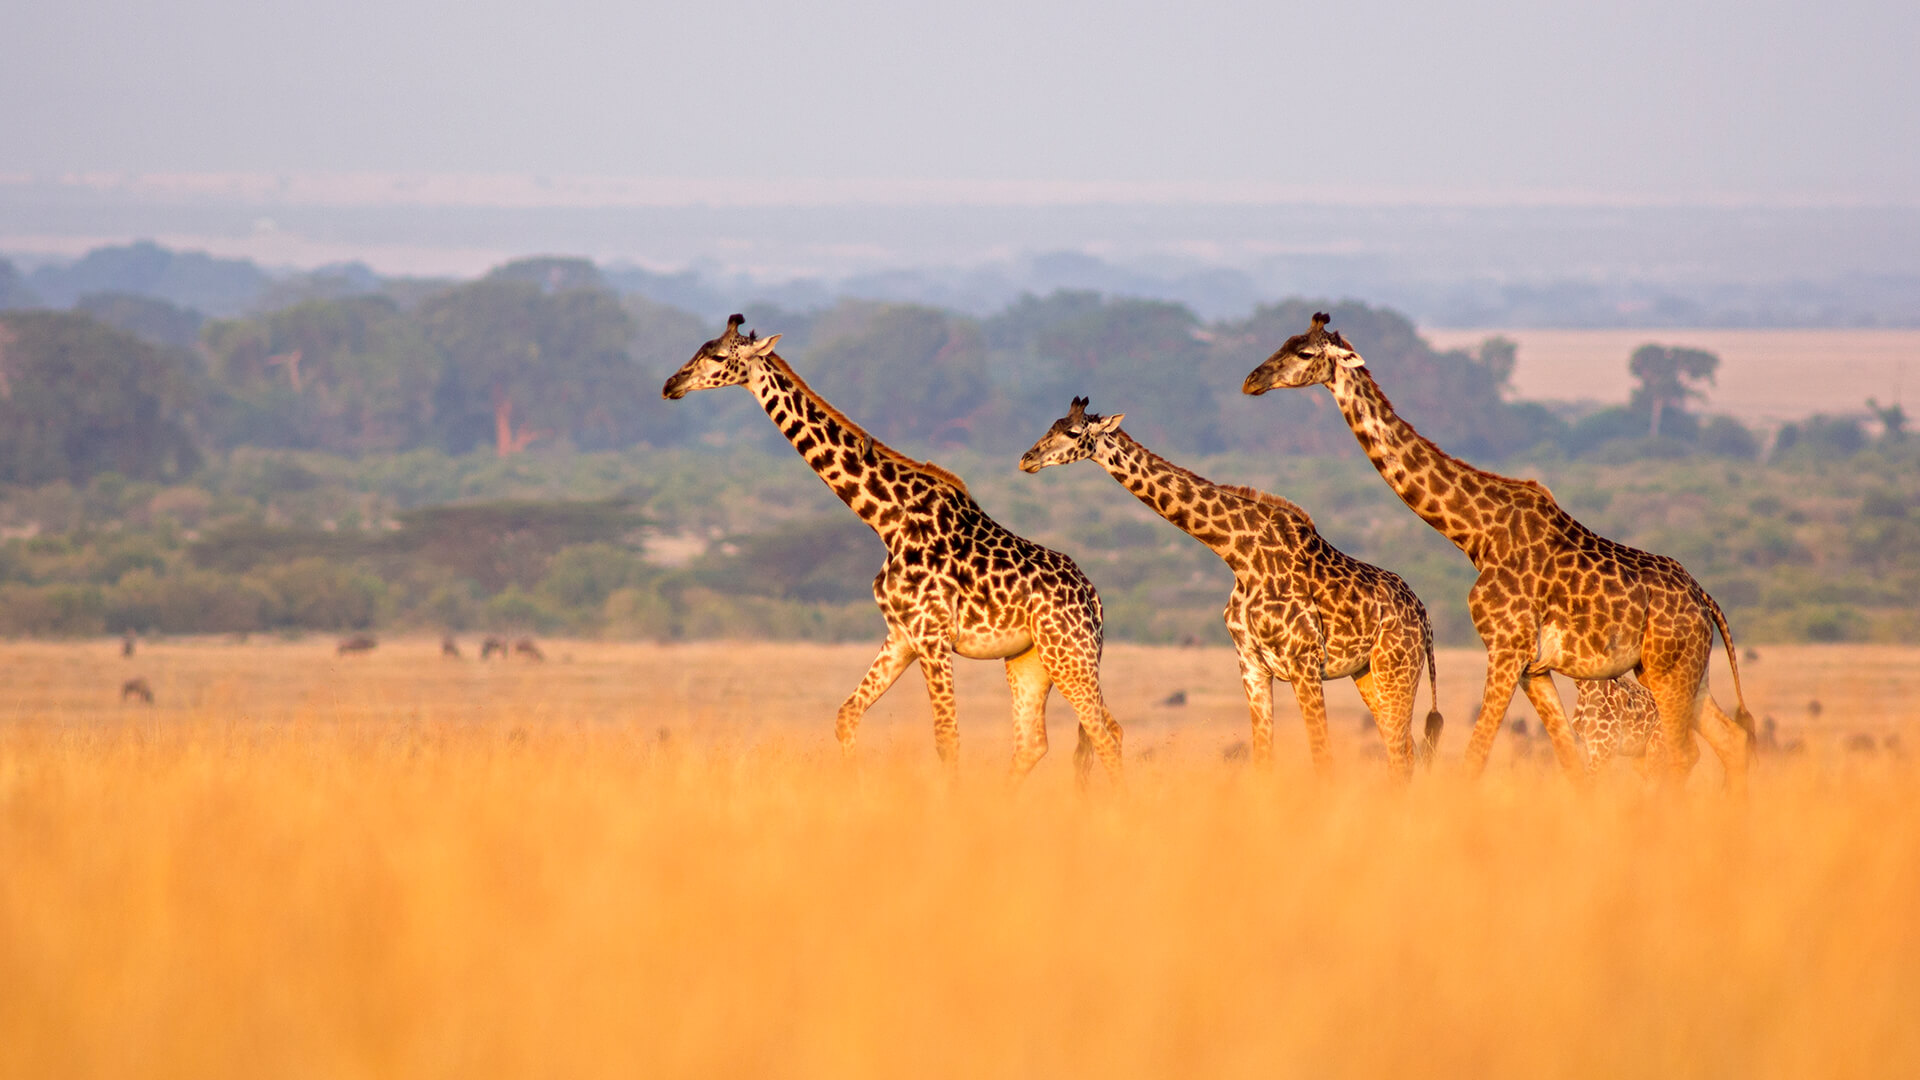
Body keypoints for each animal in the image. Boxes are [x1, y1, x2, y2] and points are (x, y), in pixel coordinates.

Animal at [668, 315, 1121, 776]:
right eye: (699, 348)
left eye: (718, 356)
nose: (672, 384)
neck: (886, 519)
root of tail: (1094, 598)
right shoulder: (901, 635)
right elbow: (846, 714)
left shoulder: (932, 635)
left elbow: (947, 739)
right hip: (1031, 658)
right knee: (1037, 742)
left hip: (1069, 652)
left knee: (1105, 733)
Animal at [1021, 395, 1443, 772]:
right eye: (1051, 425)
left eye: (1073, 432)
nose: (1027, 459)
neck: (1240, 555)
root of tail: (1425, 617)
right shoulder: (1251, 663)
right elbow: (1262, 758)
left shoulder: (1304, 662)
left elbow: (1322, 756)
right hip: (1368, 673)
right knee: (1402, 750)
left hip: (1395, 668)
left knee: (1402, 754)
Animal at [1244, 315, 1758, 787]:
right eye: (1283, 341)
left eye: (1305, 353)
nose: (1252, 380)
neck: (1478, 534)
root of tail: (1705, 600)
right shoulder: (1534, 666)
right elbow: (1568, 761)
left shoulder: (1505, 647)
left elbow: (1475, 758)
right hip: (1675, 670)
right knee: (1730, 741)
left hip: (1669, 667)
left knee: (1682, 754)